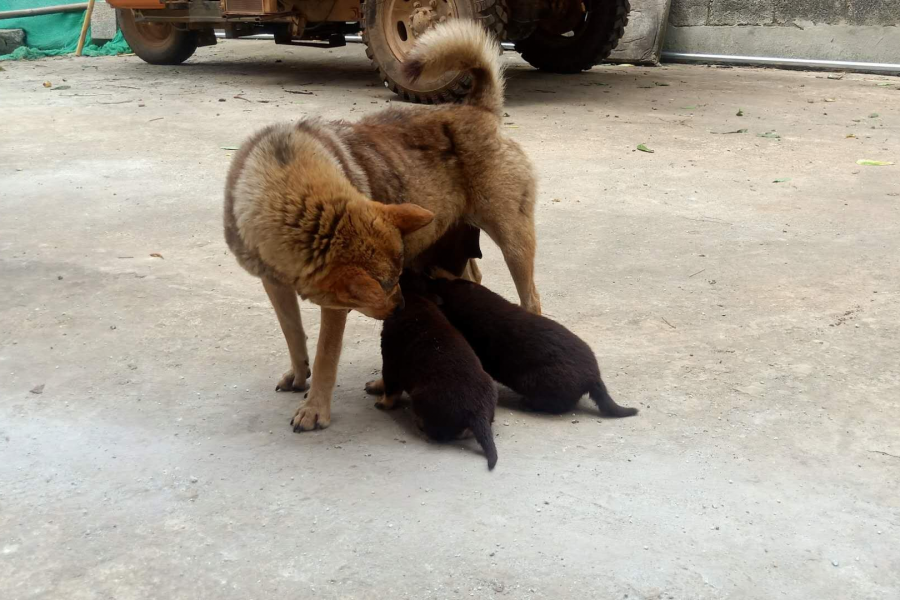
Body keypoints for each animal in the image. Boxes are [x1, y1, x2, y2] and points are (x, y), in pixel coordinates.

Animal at [223, 19, 540, 432]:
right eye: (387, 284)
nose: (402, 305)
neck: (286, 187)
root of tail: (478, 109)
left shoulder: (334, 307)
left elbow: (326, 355)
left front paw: (315, 408)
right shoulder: (274, 285)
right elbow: (293, 333)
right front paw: (299, 374)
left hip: (514, 240)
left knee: (531, 298)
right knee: (472, 281)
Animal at [366, 270, 500, 468]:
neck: (416, 299)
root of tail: (478, 414)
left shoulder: (390, 359)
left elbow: (390, 388)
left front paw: (382, 402)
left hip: (421, 398)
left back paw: (420, 422)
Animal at [426, 274, 636, 420]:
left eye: (441, 282)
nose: (431, 277)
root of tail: (594, 377)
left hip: (533, 382)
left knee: (560, 405)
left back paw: (527, 403)